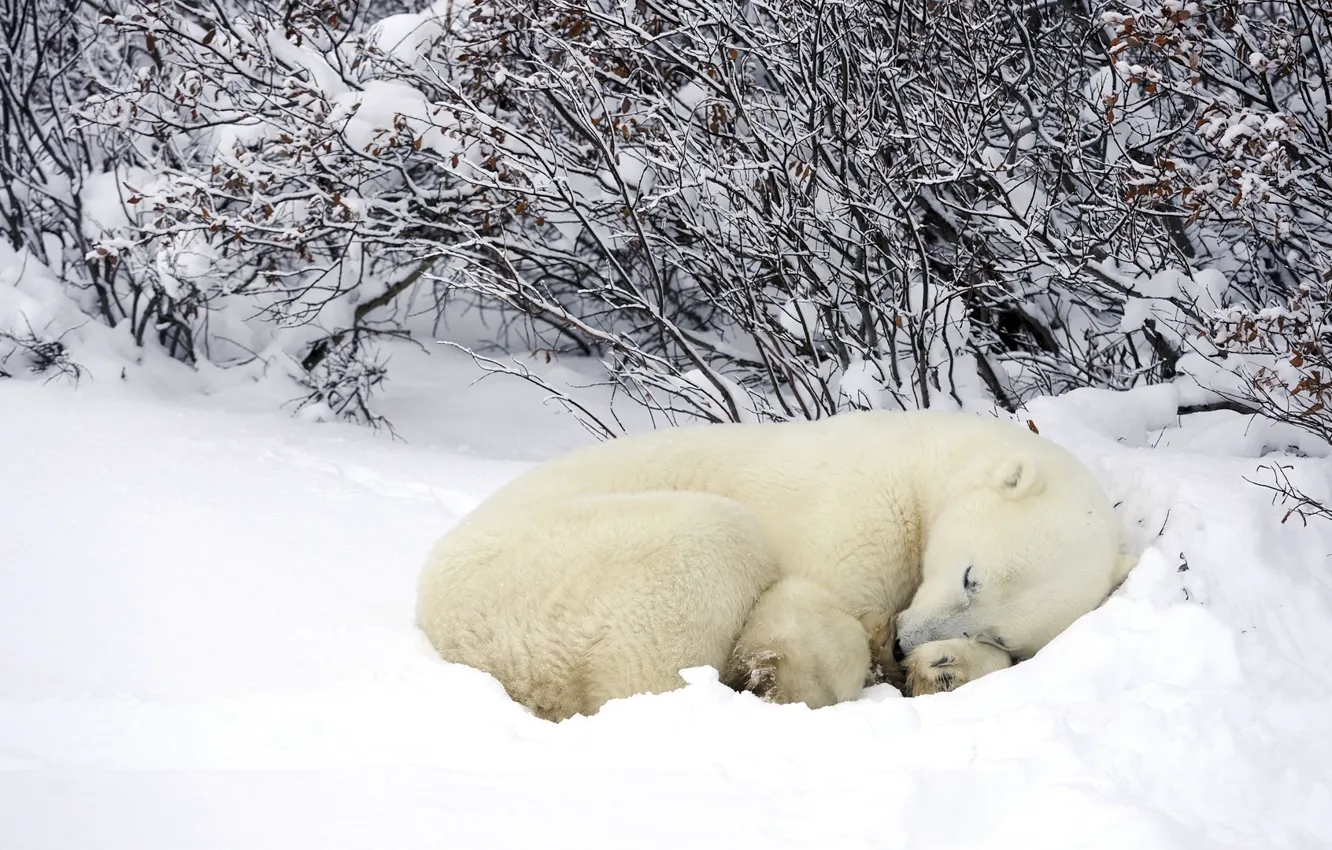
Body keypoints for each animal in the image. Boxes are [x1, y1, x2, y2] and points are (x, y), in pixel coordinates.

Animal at [418, 410, 1134, 724]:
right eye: (969, 575)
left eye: (998, 631)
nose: (907, 645)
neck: (926, 461)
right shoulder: (861, 507)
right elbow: (811, 604)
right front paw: (794, 676)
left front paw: (945, 669)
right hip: (550, 573)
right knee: (708, 548)